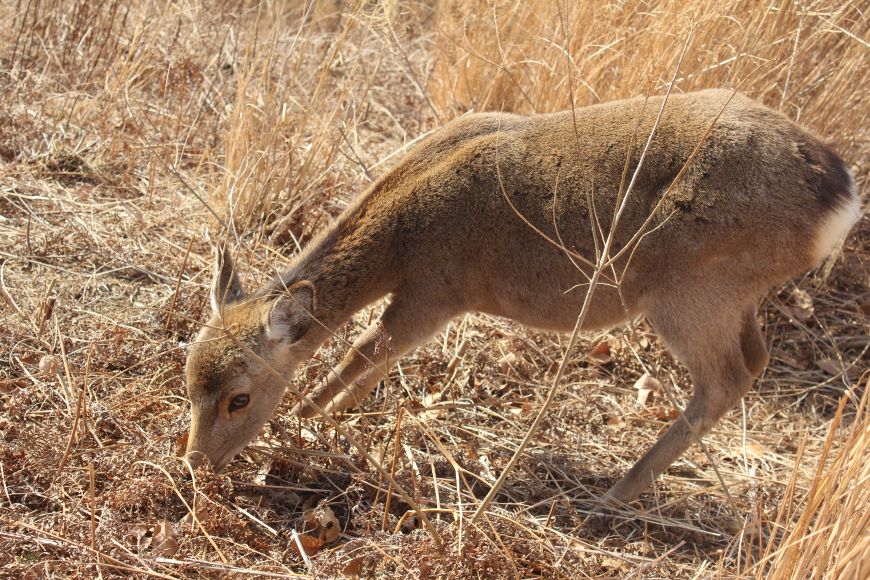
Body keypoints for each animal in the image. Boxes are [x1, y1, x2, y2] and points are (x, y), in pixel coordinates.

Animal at [182, 89, 860, 502]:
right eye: (186, 376)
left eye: (239, 399)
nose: (194, 463)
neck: (407, 229)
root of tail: (841, 198)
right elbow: (375, 355)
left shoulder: (442, 287)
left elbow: (366, 349)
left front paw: (307, 419)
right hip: (733, 296)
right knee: (755, 359)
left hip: (692, 291)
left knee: (725, 377)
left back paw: (614, 493)